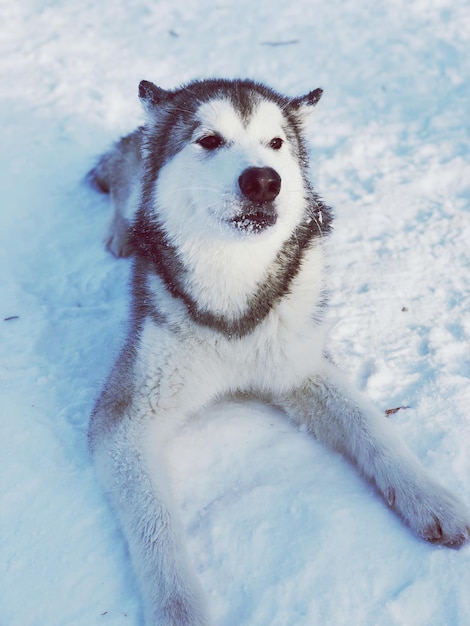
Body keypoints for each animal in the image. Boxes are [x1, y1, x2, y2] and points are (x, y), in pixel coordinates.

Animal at [89, 78, 470, 624]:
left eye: (275, 143)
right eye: (209, 140)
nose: (264, 181)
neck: (233, 296)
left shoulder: (301, 365)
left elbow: (372, 427)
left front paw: (430, 497)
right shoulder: (127, 415)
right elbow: (156, 524)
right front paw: (180, 609)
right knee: (125, 184)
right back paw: (122, 232)